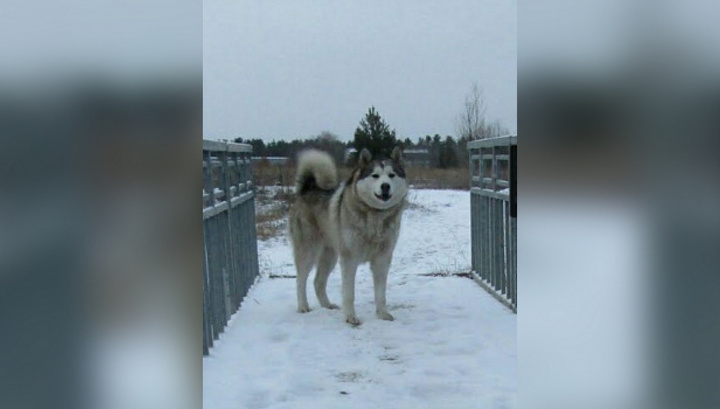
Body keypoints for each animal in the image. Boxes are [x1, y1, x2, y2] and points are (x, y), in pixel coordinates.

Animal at [288, 147, 410, 326]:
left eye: (391, 175)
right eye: (375, 175)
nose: (385, 186)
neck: (376, 215)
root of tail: (308, 189)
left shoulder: (382, 259)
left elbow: (381, 293)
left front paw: (382, 314)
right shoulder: (350, 259)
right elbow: (349, 293)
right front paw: (350, 317)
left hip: (330, 256)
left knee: (318, 281)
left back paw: (327, 305)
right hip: (308, 251)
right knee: (300, 280)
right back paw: (303, 306)